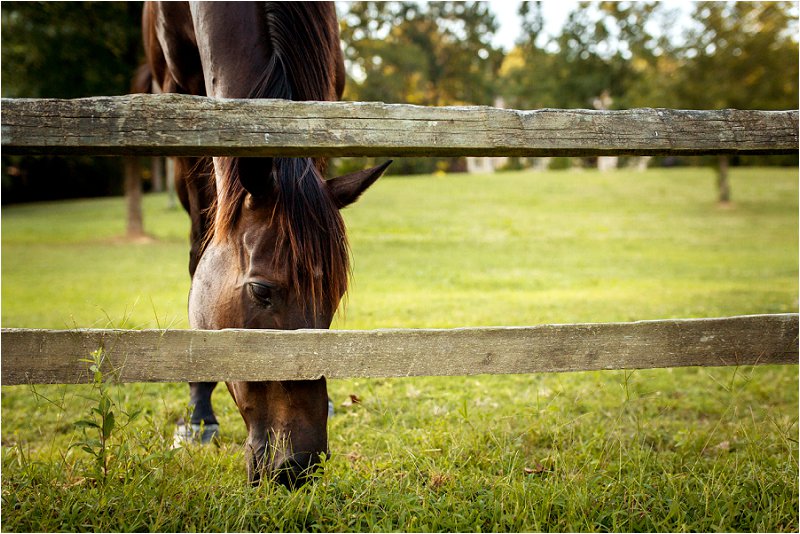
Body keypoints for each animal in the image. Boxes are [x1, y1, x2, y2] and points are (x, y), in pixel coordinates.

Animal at [141, 1, 390, 487]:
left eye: (335, 295)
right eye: (261, 291)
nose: (298, 465)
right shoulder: (179, 103)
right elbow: (199, 251)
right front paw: (198, 413)